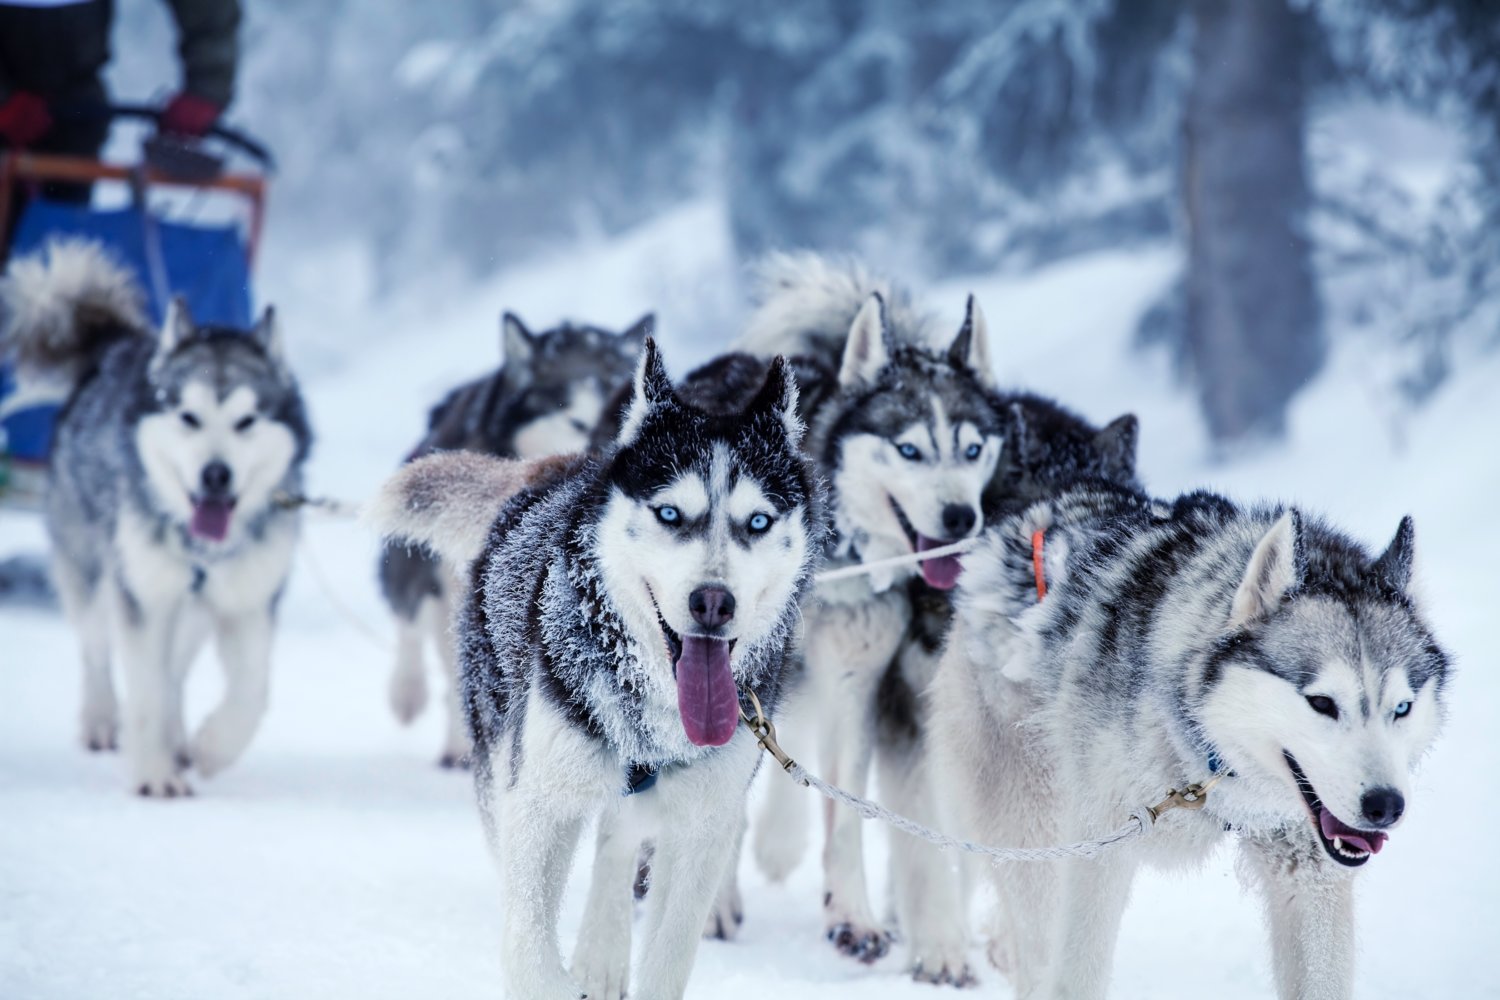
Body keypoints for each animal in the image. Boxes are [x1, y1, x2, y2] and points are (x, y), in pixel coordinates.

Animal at [0, 238, 310, 791]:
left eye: (246, 421)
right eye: (188, 417)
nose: (215, 475)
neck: (201, 550)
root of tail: (113, 349)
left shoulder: (248, 602)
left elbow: (251, 691)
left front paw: (211, 748)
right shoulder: (142, 597)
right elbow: (143, 689)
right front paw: (155, 778)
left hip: (191, 612)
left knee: (175, 674)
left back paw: (177, 737)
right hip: (95, 573)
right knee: (96, 650)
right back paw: (102, 721)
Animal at [930, 479, 1446, 995]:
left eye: (1401, 708)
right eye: (1322, 702)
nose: (1385, 806)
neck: (1206, 756)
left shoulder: (1309, 870)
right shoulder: (1101, 846)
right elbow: (1077, 971)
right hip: (1033, 823)